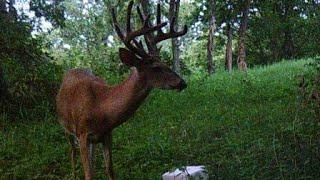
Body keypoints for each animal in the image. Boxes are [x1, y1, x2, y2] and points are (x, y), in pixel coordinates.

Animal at [56, 0, 189, 179]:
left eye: (164, 63)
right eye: (156, 67)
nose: (182, 82)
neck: (100, 107)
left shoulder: (107, 134)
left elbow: (110, 170)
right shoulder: (82, 134)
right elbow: (89, 174)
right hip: (67, 129)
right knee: (72, 154)